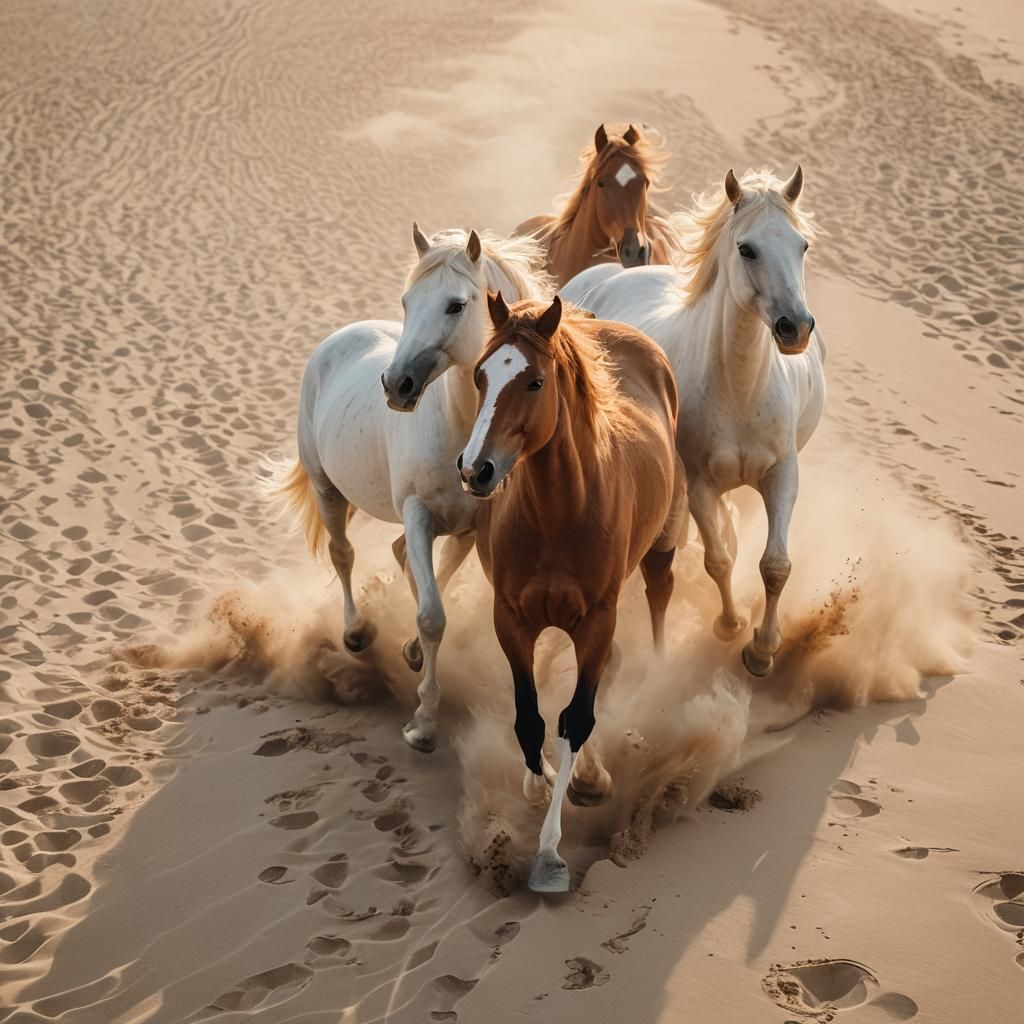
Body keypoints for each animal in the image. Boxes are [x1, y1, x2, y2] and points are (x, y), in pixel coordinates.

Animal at [275, 226, 550, 752]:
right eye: (407, 301)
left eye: (456, 305)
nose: (396, 385)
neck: (460, 429)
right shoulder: (419, 513)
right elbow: (432, 616)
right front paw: (423, 722)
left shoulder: (469, 528)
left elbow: (434, 586)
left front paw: (413, 659)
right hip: (327, 489)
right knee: (343, 554)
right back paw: (356, 633)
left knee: (401, 555)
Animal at [459, 292, 686, 891]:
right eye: (480, 375)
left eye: (534, 382)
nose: (475, 469)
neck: (559, 515)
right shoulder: (511, 619)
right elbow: (531, 719)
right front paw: (540, 783)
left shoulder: (597, 621)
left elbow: (576, 718)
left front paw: (550, 853)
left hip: (660, 549)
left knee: (658, 600)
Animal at [561, 167, 826, 678]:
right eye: (747, 249)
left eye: (801, 245)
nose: (795, 328)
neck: (741, 391)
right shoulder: (698, 482)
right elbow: (718, 560)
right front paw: (730, 625)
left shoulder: (783, 473)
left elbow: (775, 565)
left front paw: (763, 650)